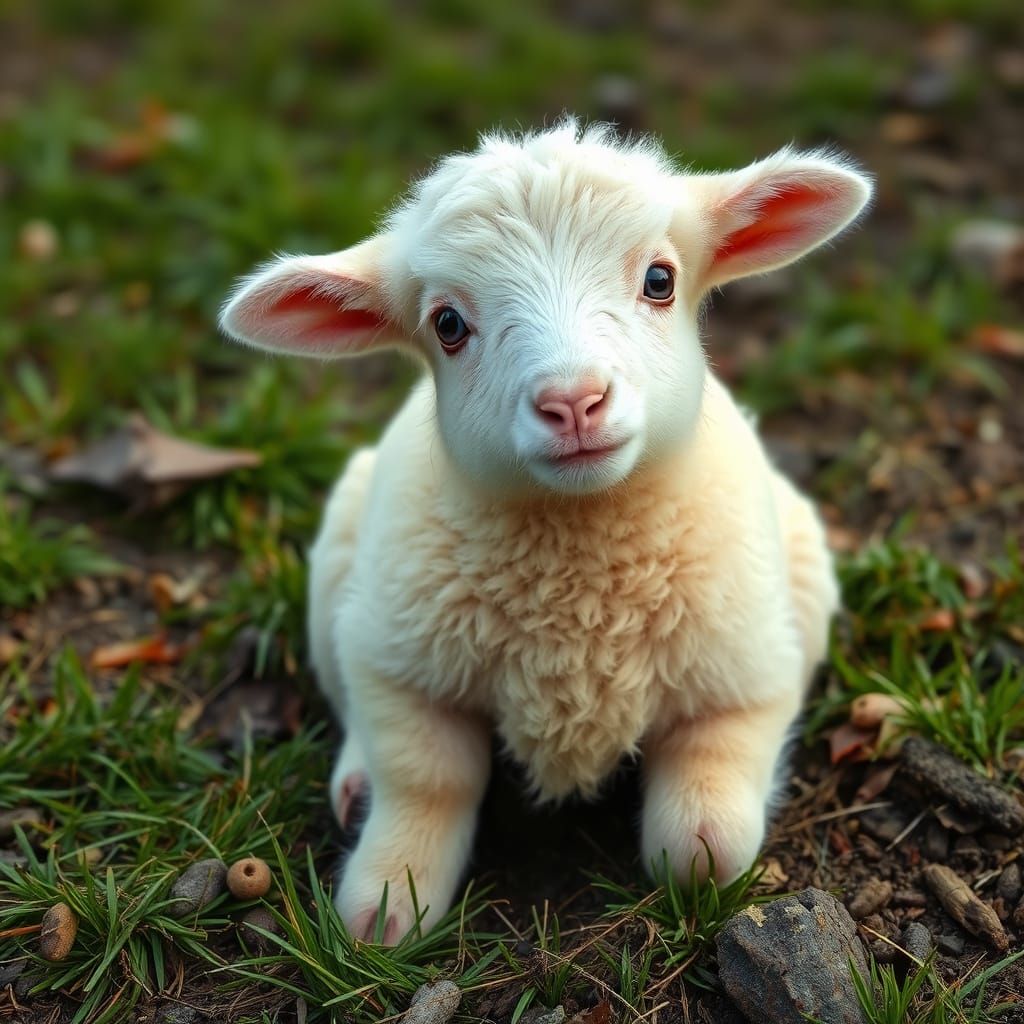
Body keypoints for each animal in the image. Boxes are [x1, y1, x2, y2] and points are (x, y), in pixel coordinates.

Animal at [220, 119, 871, 945]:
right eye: (448, 324)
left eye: (660, 280)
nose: (573, 401)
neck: (579, 574)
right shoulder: (397, 665)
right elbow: (427, 776)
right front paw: (388, 904)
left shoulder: (748, 675)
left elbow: (706, 834)